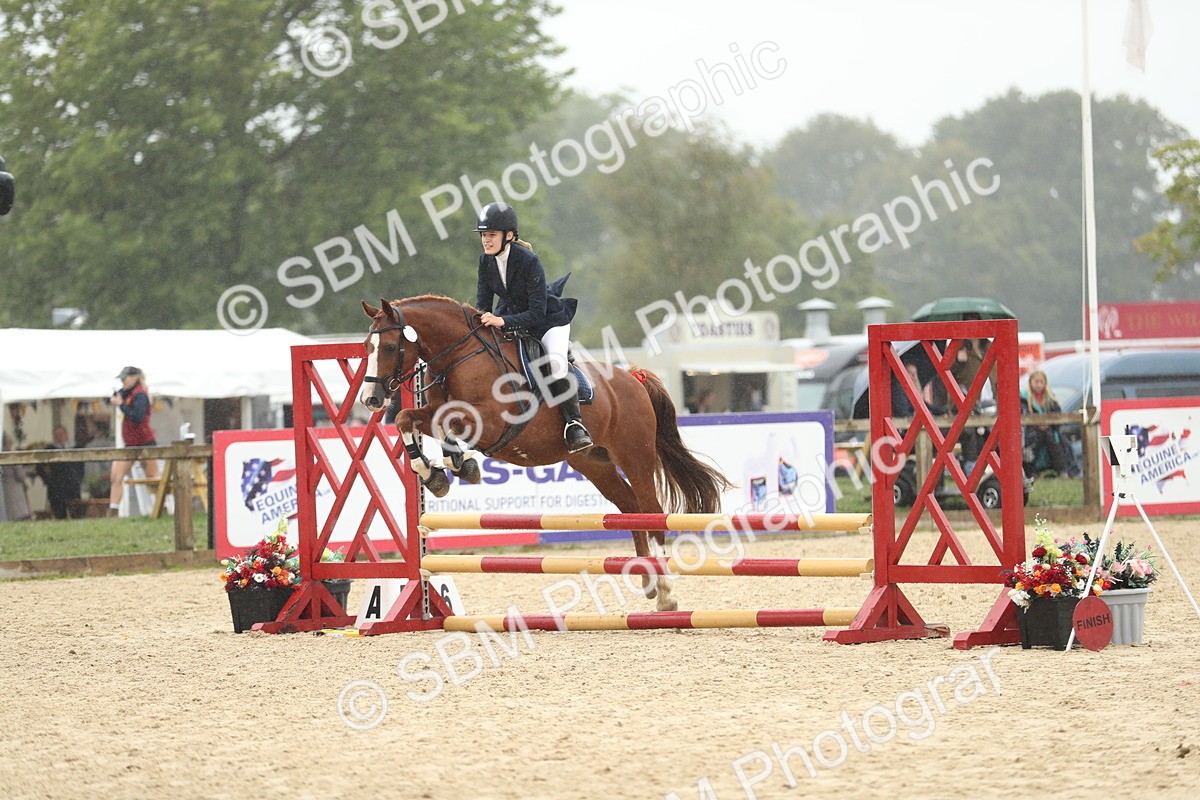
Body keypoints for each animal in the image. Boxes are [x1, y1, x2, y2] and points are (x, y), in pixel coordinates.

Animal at [359, 295, 731, 611]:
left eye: (389, 346)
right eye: (367, 347)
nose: (370, 400)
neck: (460, 355)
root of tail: (633, 378)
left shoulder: (491, 421)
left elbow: (446, 421)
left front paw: (455, 466)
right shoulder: (438, 410)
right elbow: (409, 419)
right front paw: (435, 472)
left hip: (635, 457)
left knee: (652, 514)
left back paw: (666, 593)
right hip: (594, 464)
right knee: (630, 509)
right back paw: (648, 580)